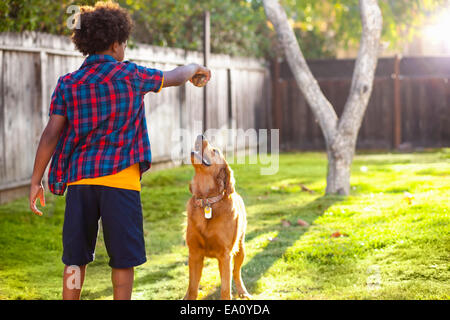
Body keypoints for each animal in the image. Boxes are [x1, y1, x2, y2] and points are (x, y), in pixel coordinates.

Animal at [185, 134, 251, 298]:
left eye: (215, 150)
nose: (200, 135)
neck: (207, 201)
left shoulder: (225, 255)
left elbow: (226, 288)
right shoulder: (194, 254)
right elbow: (193, 288)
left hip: (240, 249)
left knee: (236, 273)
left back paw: (243, 292)